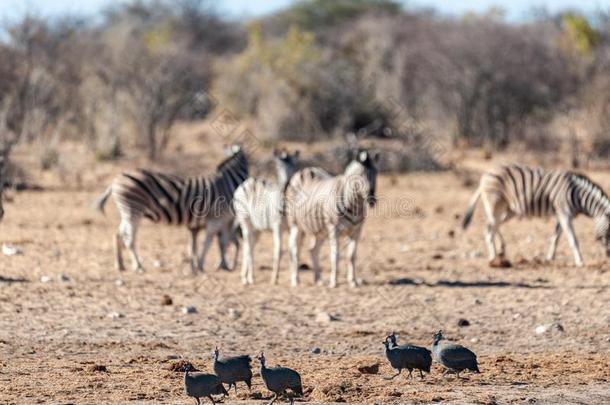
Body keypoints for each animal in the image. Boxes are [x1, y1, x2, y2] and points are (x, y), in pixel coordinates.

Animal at [95, 144, 247, 274]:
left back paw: (120, 264)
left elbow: (204, 244)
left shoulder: (207, 223)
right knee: (129, 238)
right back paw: (138, 266)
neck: (227, 183)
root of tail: (115, 180)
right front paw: (204, 265)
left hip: (127, 212)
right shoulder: (217, 218)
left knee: (118, 234)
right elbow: (210, 242)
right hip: (133, 210)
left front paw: (213, 265)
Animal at [233, 148, 300, 284]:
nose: (287, 185)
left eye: (294, 165)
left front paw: (295, 279)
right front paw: (274, 278)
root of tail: (247, 181)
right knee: (248, 246)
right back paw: (250, 278)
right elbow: (278, 251)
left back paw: (245, 276)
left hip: (257, 228)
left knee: (249, 246)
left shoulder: (292, 228)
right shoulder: (277, 227)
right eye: (279, 166)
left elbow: (293, 250)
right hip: (245, 221)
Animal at [284, 149, 376, 288]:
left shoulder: (356, 231)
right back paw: (296, 280)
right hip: (296, 225)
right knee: (294, 250)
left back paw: (318, 280)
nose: (372, 200)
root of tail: (306, 170)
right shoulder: (334, 229)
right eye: (360, 175)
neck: (354, 204)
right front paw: (334, 282)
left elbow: (351, 256)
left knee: (313, 250)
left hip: (320, 230)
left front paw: (353, 281)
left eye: (376, 172)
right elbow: (335, 256)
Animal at [460, 163, 608, 266]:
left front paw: (549, 258)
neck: (578, 195)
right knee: (489, 229)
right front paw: (580, 261)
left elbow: (555, 238)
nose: (608, 255)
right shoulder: (564, 212)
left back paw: (500, 253)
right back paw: (493, 258)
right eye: (609, 232)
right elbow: (573, 239)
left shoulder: (563, 214)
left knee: (494, 227)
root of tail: (485, 175)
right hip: (495, 204)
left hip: (509, 210)